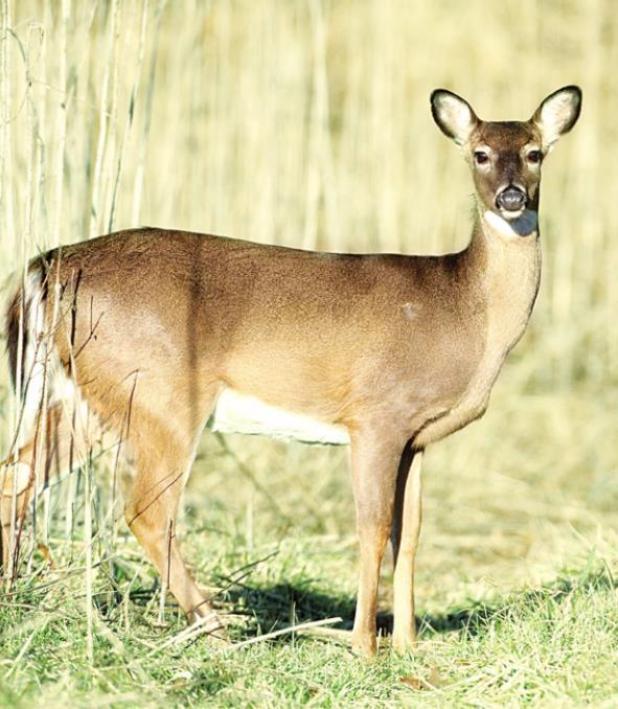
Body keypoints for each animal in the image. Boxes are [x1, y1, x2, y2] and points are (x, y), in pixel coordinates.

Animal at [0, 86, 581, 657]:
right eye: (479, 154)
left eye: (534, 153)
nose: (511, 196)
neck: (464, 310)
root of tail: (45, 269)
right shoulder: (377, 415)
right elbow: (373, 527)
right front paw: (365, 645)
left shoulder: (416, 437)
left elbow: (410, 533)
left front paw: (409, 645)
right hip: (161, 396)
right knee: (147, 511)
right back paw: (218, 629)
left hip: (88, 396)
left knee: (19, 474)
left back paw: (14, 594)